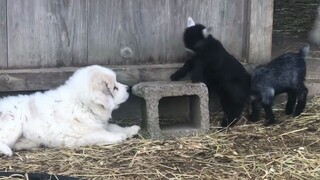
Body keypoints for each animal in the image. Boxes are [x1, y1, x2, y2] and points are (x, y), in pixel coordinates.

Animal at [0, 64, 140, 156]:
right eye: (115, 88)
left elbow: (112, 126)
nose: (128, 89)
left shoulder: (98, 123)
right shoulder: (79, 135)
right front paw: (118, 137)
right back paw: (6, 151)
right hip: (13, 124)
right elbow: (100, 134)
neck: (82, 104)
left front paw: (130, 130)